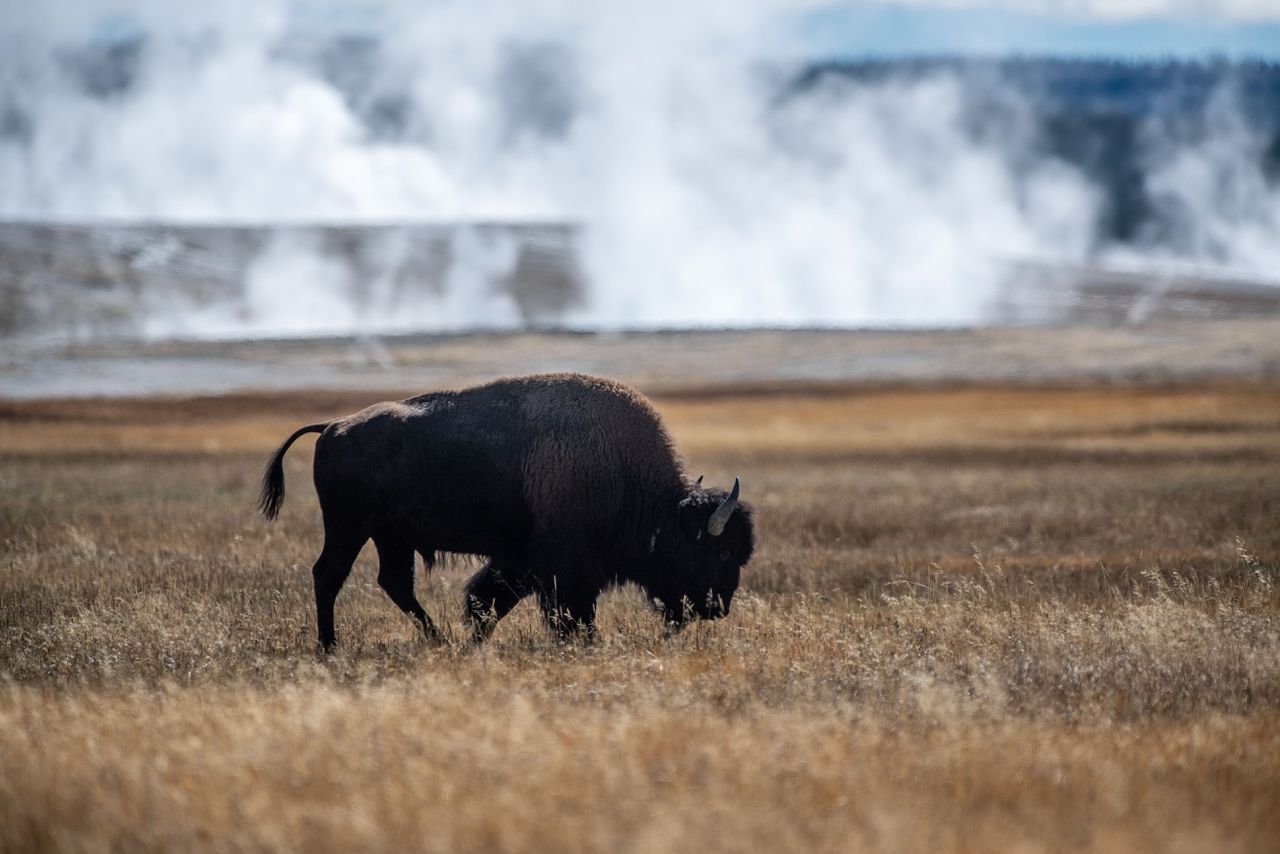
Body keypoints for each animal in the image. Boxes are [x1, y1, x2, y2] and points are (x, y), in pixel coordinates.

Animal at [259, 373, 754, 650]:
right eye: (722, 553)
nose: (718, 609)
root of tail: (333, 426)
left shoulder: (521, 559)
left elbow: (489, 600)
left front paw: (477, 640)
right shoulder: (565, 568)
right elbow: (567, 609)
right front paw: (586, 642)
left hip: (388, 534)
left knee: (394, 582)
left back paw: (438, 640)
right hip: (349, 527)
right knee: (329, 575)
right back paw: (329, 647)